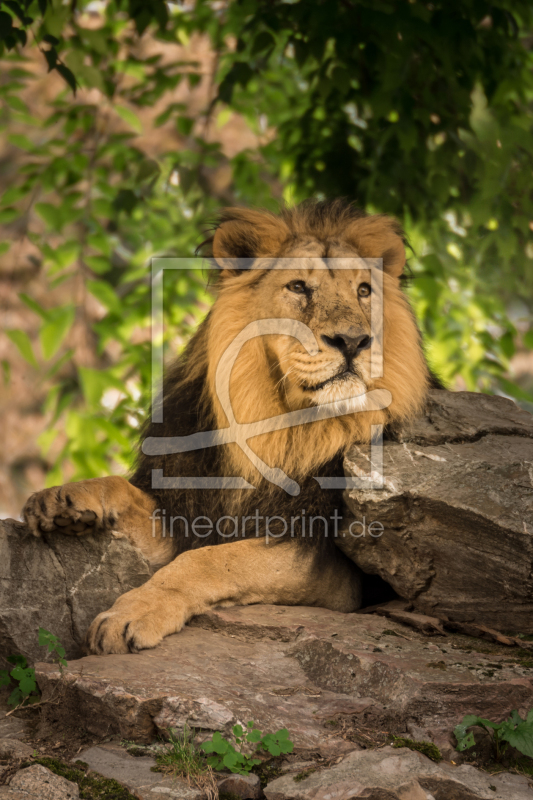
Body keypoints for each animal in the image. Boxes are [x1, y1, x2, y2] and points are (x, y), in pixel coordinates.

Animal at [20, 200, 432, 656]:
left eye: (364, 291)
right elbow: (124, 492)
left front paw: (129, 615)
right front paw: (61, 499)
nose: (354, 341)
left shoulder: (328, 563)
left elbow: (208, 560)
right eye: (298, 287)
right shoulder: (188, 506)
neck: (280, 426)